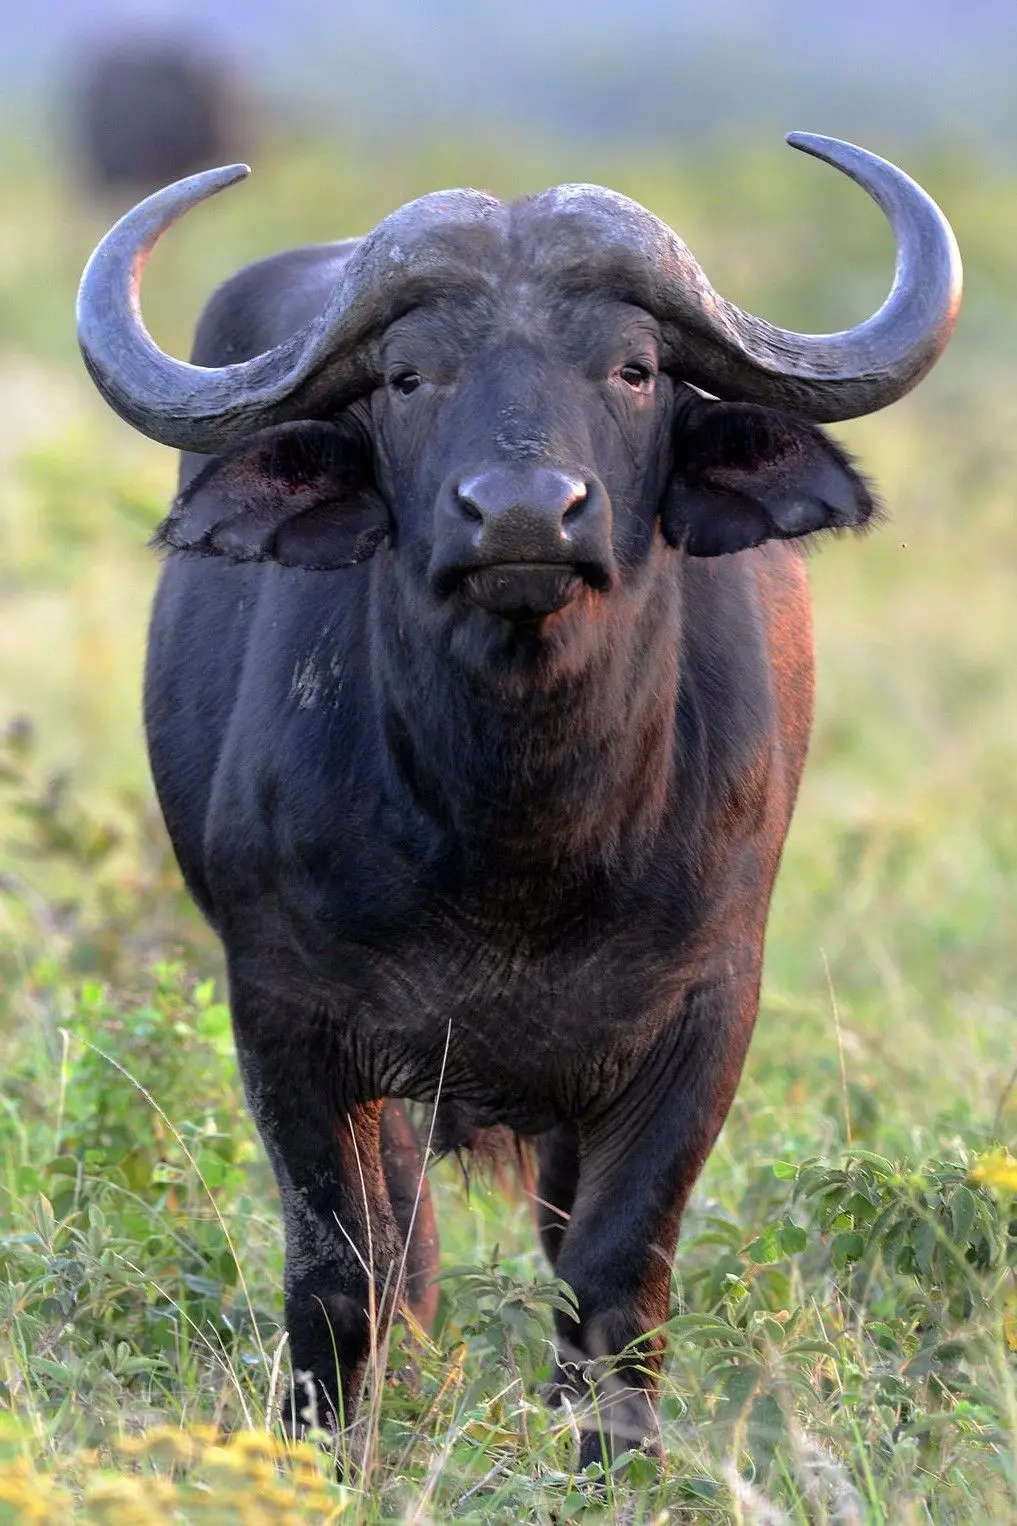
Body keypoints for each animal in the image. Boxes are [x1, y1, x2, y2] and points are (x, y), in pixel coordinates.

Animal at [77, 134, 961, 1467]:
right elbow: (343, 1267)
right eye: (407, 375)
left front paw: (613, 1455)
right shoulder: (283, 1015)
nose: (525, 514)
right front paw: (328, 1448)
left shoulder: (706, 1016)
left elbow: (612, 1270)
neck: (517, 833)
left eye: (635, 368)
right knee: (404, 1245)